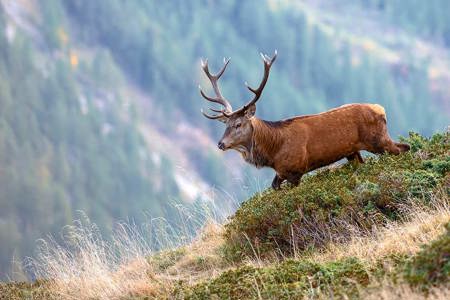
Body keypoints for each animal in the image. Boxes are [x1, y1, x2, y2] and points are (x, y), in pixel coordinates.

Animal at [199, 50, 410, 189]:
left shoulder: (296, 170)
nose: (220, 143)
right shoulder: (280, 173)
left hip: (378, 140)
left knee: (403, 148)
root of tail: (381, 109)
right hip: (353, 152)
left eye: (238, 124)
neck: (273, 151)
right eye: (225, 125)